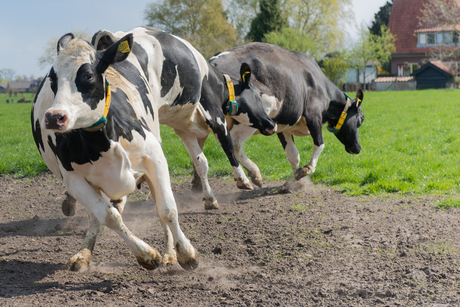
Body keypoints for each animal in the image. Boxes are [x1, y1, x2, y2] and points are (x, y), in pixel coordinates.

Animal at [30, 31, 199, 272]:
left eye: (88, 75)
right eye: (52, 79)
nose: (54, 117)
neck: (101, 144)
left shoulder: (154, 158)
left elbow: (167, 209)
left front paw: (186, 254)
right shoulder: (74, 181)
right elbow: (109, 217)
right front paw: (146, 255)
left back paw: (169, 253)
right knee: (97, 217)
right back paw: (84, 254)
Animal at [90, 27, 276, 209]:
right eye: (258, 96)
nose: (271, 124)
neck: (217, 83)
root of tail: (114, 36)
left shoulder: (183, 129)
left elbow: (201, 163)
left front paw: (210, 199)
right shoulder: (215, 115)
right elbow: (228, 145)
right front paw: (243, 180)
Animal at [210, 42, 364, 188]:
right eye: (360, 120)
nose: (357, 148)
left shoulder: (283, 125)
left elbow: (293, 154)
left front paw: (297, 180)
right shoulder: (313, 114)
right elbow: (320, 144)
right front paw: (307, 169)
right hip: (254, 115)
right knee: (234, 142)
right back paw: (249, 176)